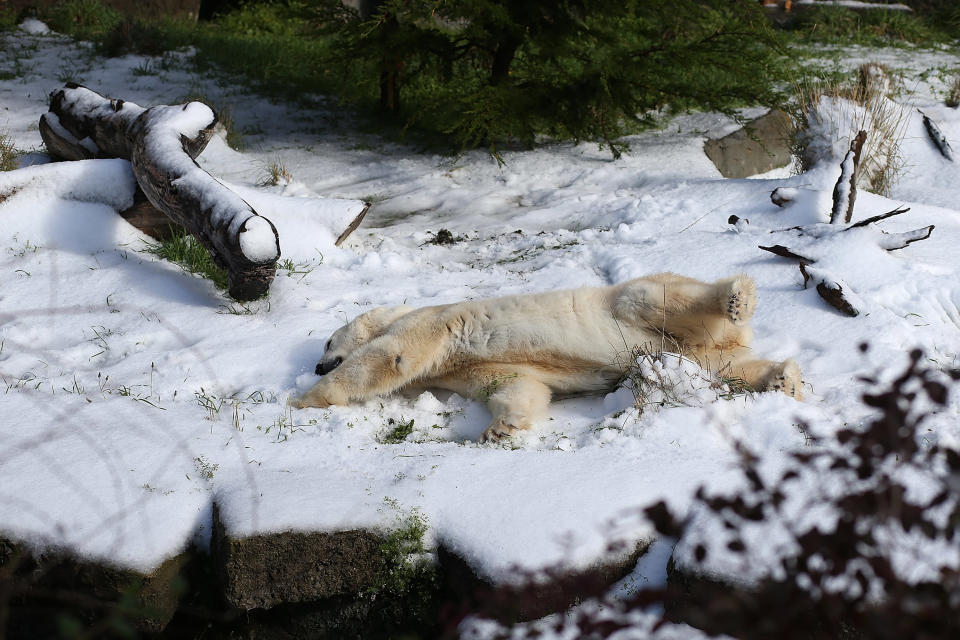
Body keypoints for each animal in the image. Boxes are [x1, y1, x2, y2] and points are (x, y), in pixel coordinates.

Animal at [292, 272, 804, 442]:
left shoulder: (435, 322)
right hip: (703, 353)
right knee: (729, 369)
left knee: (651, 297)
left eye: (326, 344)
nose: (315, 364)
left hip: (639, 308)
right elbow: (514, 384)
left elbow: (390, 356)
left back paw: (736, 297)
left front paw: (302, 400)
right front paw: (500, 429)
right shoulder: (469, 366)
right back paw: (785, 380)